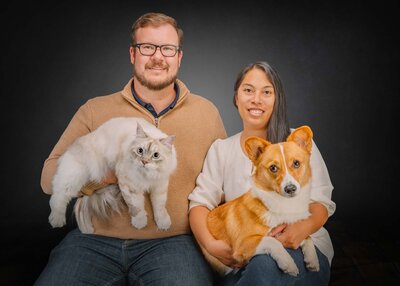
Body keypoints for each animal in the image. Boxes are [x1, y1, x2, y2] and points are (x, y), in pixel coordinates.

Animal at [48, 116, 177, 232]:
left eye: (156, 155)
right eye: (140, 151)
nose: (144, 162)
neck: (146, 176)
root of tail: (72, 146)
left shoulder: (159, 186)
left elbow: (160, 206)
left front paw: (163, 223)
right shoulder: (130, 185)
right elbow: (136, 207)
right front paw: (140, 223)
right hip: (74, 175)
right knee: (58, 196)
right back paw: (56, 220)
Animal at [203, 126, 318, 276]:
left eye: (296, 163)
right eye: (273, 168)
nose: (290, 189)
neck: (283, 203)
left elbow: (308, 237)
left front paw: (313, 260)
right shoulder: (244, 243)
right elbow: (273, 241)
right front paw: (288, 264)